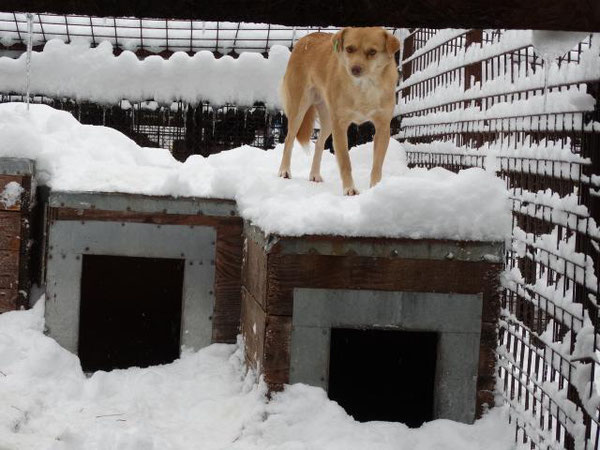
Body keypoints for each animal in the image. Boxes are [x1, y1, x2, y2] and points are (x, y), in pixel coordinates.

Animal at [278, 26, 400, 195]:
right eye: (349, 49)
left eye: (372, 52)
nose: (355, 69)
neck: (364, 87)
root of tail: (305, 39)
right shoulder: (340, 126)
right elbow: (345, 162)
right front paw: (350, 189)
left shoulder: (383, 127)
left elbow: (377, 164)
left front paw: (376, 188)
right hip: (299, 110)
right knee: (288, 139)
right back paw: (284, 171)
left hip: (328, 120)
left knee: (319, 143)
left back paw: (314, 174)